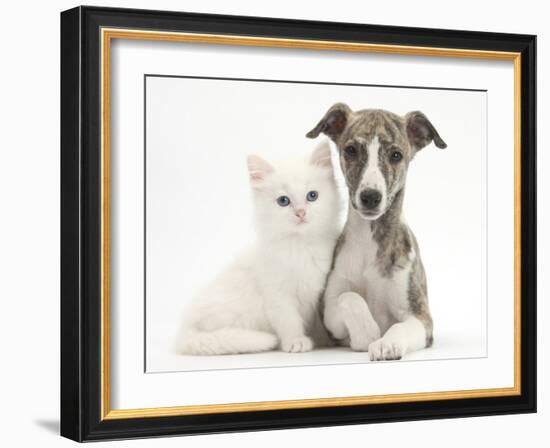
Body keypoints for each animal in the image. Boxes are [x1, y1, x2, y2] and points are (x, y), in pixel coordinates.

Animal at [177, 142, 342, 356]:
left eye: (312, 196)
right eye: (283, 201)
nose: (300, 213)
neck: (300, 245)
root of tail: (184, 331)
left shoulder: (315, 294)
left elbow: (316, 323)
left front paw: (324, 340)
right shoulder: (277, 295)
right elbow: (289, 321)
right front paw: (296, 342)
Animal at [306, 102, 448, 360]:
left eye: (396, 155)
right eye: (351, 150)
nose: (370, 196)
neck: (370, 240)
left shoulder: (421, 317)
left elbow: (399, 326)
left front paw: (386, 344)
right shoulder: (328, 314)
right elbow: (349, 297)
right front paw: (367, 333)